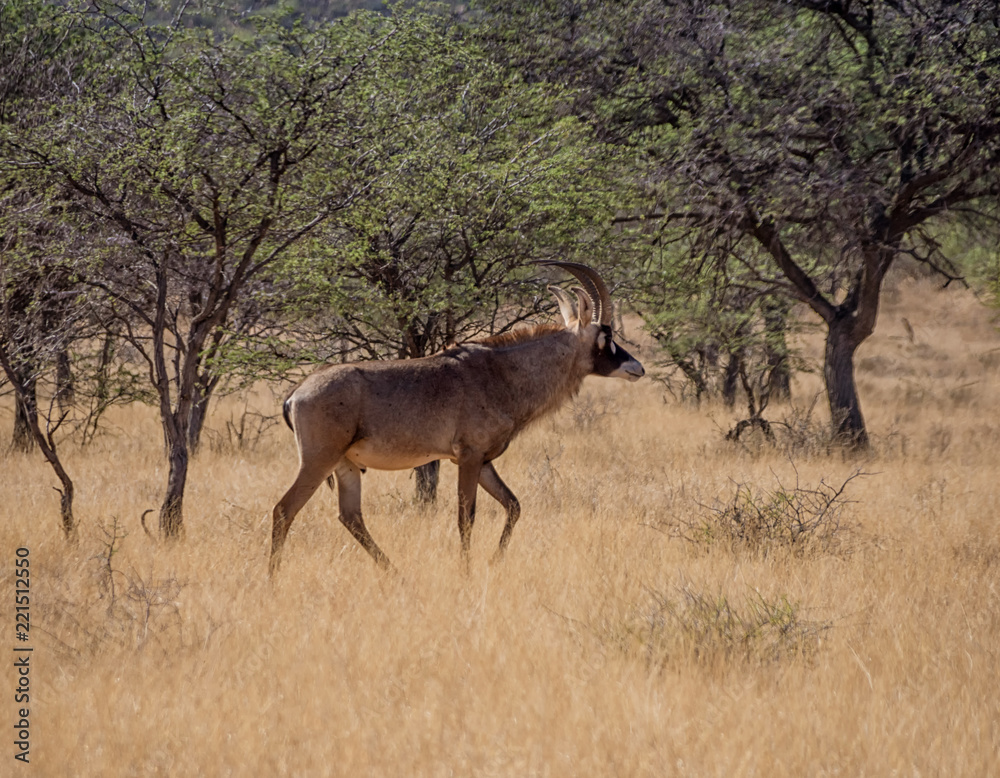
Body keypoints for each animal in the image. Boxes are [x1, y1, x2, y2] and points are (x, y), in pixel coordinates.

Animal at [269, 262, 644, 574]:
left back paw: (396, 575)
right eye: (607, 336)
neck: (501, 372)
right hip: (318, 460)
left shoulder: (483, 460)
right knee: (284, 510)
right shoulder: (468, 456)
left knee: (351, 517)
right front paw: (466, 571)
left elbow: (514, 505)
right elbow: (467, 517)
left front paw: (493, 561)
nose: (637, 368)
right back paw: (273, 580)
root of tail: (296, 394)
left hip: (346, 466)